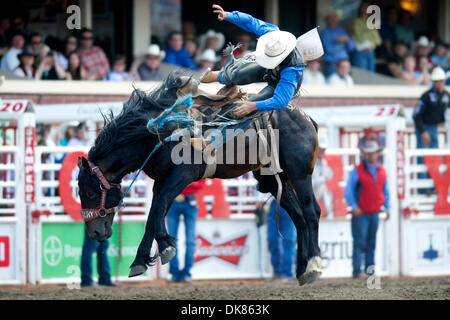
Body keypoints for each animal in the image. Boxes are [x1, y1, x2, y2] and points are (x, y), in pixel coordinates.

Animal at [77, 69, 324, 284]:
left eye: (90, 192)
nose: (95, 232)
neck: (159, 131)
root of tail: (305, 118)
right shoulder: (161, 180)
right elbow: (154, 213)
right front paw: (139, 260)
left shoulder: (183, 174)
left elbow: (158, 207)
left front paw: (166, 247)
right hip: (274, 179)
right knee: (299, 218)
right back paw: (301, 270)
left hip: (300, 174)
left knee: (312, 212)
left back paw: (313, 265)